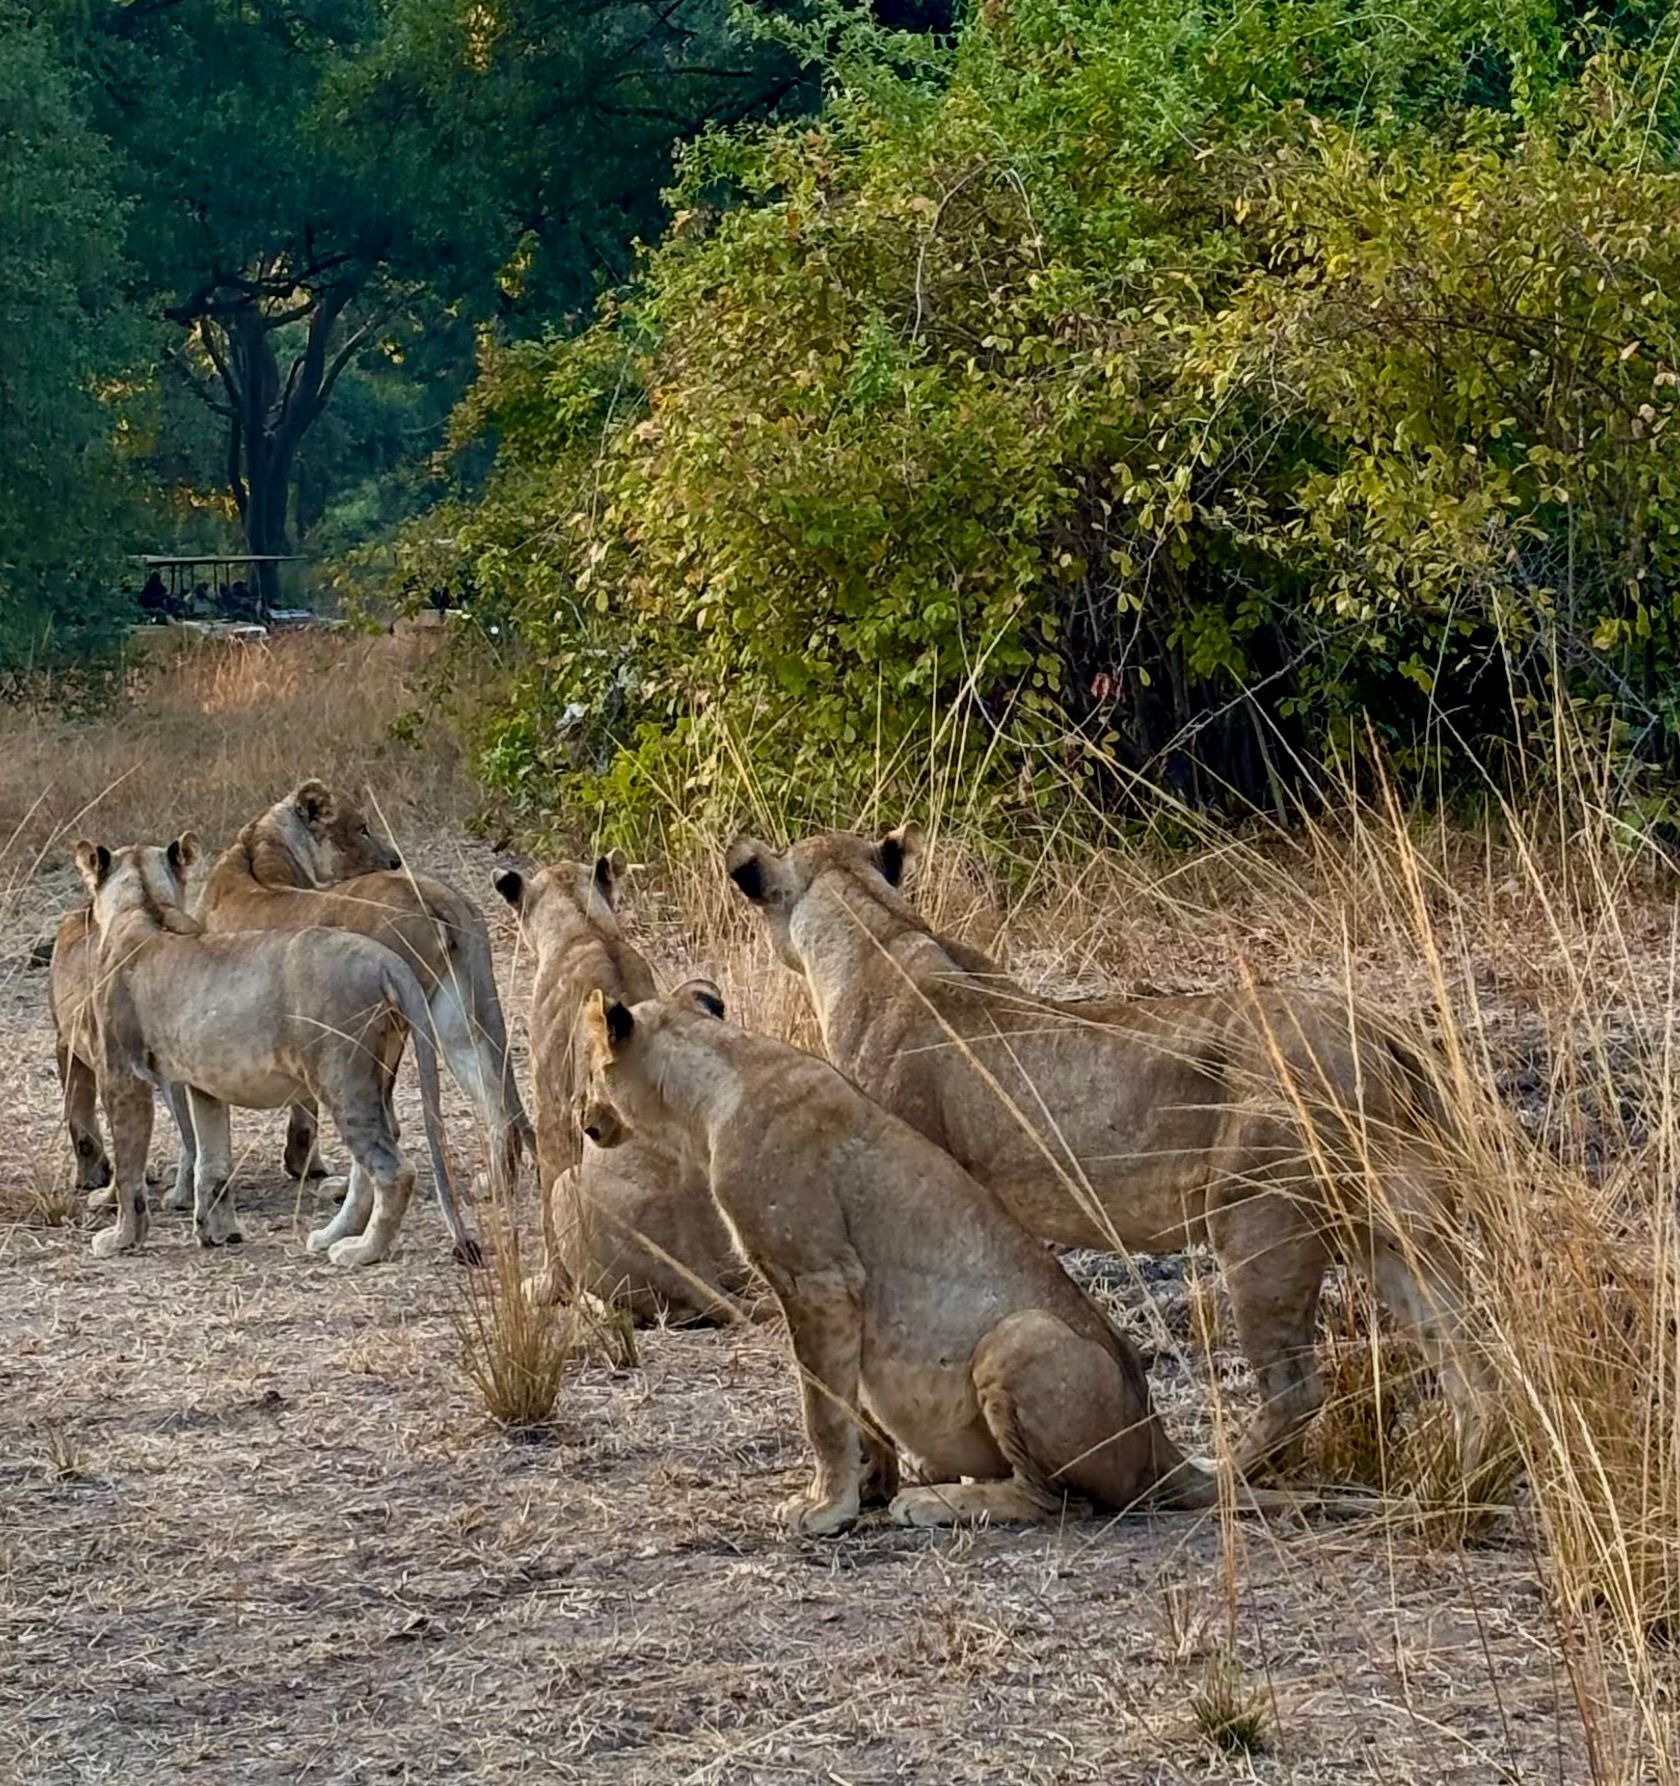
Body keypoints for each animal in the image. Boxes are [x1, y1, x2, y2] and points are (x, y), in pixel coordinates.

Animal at [75, 834, 476, 1266]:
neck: (145, 903)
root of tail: (385, 959)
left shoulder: (121, 1075)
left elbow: (129, 1168)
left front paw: (121, 1239)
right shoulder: (205, 1085)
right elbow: (212, 1161)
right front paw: (219, 1232)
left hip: (340, 1077)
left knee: (394, 1169)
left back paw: (362, 1250)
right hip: (373, 1072)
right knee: (373, 1158)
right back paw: (332, 1236)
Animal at [197, 780, 533, 1193]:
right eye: (362, 828)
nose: (394, 860)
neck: (258, 844)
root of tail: (436, 893)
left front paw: (301, 1162)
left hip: (381, 1022)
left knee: (384, 1119)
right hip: (454, 1014)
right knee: (495, 1101)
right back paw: (496, 1186)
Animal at [494, 853, 759, 1324]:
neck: (585, 928)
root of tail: (697, 1267)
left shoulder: (553, 1102)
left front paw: (548, 1288)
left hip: (570, 1186)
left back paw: (591, 1302)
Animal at [579, 984, 1356, 1534]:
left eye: (589, 1070)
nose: (585, 1120)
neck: (711, 1085)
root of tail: (1162, 1447)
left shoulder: (819, 1278)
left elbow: (823, 1408)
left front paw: (825, 1508)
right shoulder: (838, 1300)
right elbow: (857, 1407)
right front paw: (867, 1489)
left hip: (1021, 1338)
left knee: (1060, 1502)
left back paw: (942, 1504)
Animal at [725, 825, 1486, 1477]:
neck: (876, 930)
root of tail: (1382, 1030)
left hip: (1261, 1217)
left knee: (1295, 1388)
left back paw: (1223, 1474)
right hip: (1389, 1221)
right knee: (1463, 1345)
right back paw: (1469, 1465)